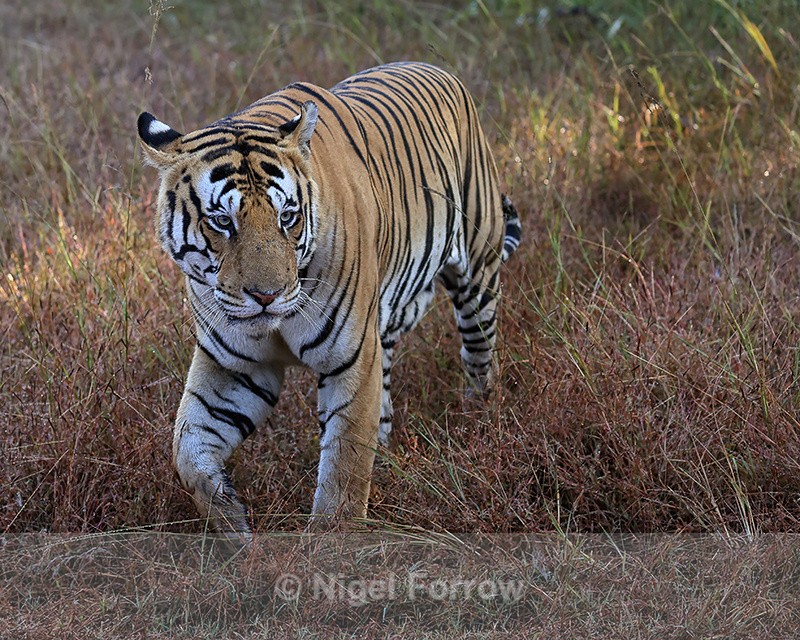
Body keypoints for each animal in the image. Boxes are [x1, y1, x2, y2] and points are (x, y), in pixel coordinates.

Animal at [137, 61, 521, 538]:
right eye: (222, 221)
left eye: (287, 217)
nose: (266, 296)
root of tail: (438, 68)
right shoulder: (234, 366)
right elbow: (187, 450)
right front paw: (231, 522)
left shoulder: (352, 360)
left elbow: (344, 473)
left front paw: (328, 545)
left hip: (478, 277)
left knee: (481, 359)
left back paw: (481, 422)